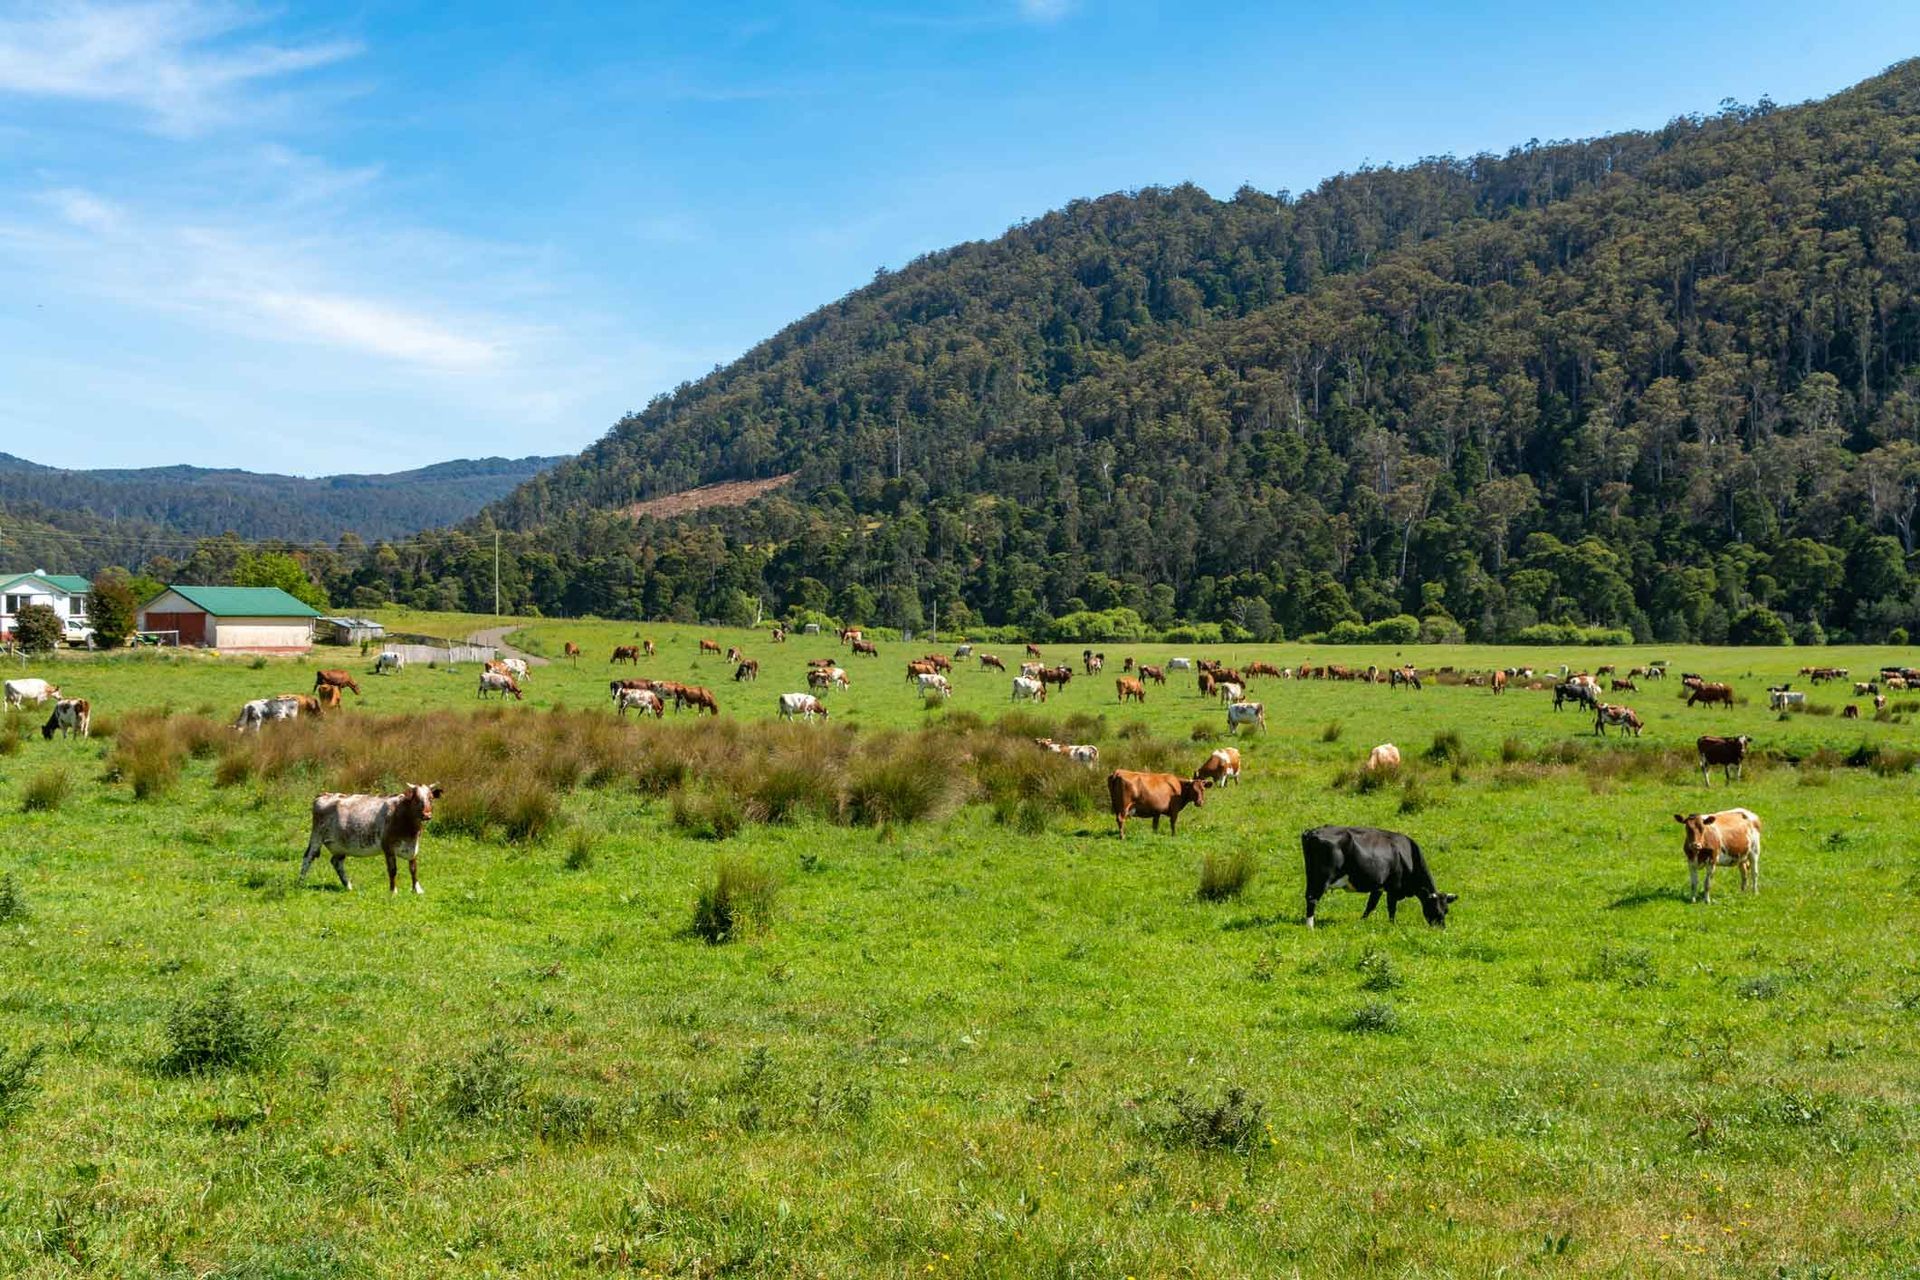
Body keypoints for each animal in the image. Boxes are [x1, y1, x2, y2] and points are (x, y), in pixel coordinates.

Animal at [300, 783, 442, 894]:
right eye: (416, 799)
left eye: (431, 799)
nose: (427, 815)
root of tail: (324, 794)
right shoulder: (388, 846)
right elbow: (392, 870)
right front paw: (393, 891)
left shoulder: (413, 847)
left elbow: (413, 869)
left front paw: (417, 890)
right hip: (317, 836)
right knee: (309, 856)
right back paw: (300, 882)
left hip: (340, 845)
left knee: (336, 862)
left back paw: (348, 886)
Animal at [1300, 825, 1455, 929]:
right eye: (1435, 909)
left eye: (1446, 910)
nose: (1441, 929)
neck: (1408, 854)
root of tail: (1313, 832)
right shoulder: (1393, 888)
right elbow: (1391, 908)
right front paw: (1392, 925)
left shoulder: (1379, 887)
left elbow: (1371, 905)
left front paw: (1361, 921)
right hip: (1322, 878)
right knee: (1312, 898)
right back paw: (1310, 926)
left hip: (1311, 876)